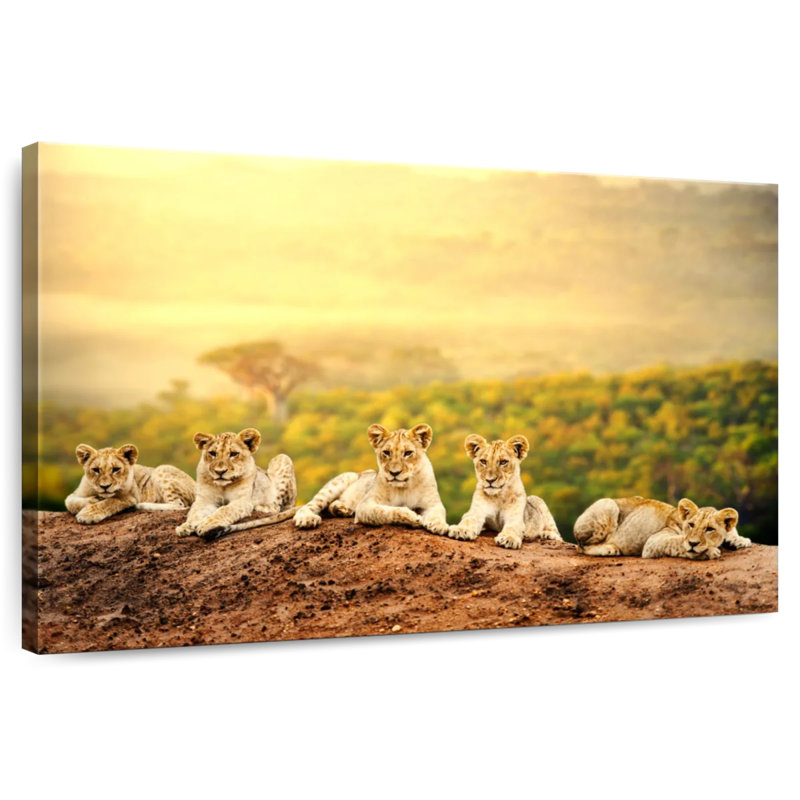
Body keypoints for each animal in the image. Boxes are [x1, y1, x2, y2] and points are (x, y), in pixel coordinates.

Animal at [65, 444, 195, 524]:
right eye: (96, 470)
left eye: (116, 469)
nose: (105, 486)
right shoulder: (77, 493)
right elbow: (69, 502)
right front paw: (93, 500)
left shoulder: (129, 496)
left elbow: (109, 502)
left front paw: (88, 514)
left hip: (161, 468)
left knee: (180, 505)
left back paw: (141, 505)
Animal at [294, 423, 449, 535]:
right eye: (386, 452)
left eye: (408, 453)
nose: (394, 473)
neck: (404, 487)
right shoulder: (366, 505)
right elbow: (388, 511)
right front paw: (413, 517)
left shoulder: (433, 503)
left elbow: (438, 513)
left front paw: (440, 525)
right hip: (340, 481)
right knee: (311, 505)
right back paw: (307, 519)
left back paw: (343, 509)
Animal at [573, 496, 752, 559]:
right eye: (691, 525)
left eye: (709, 529)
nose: (693, 543)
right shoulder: (652, 543)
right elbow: (677, 542)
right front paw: (708, 551)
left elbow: (731, 530)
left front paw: (740, 540)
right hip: (608, 504)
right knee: (581, 546)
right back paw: (609, 548)